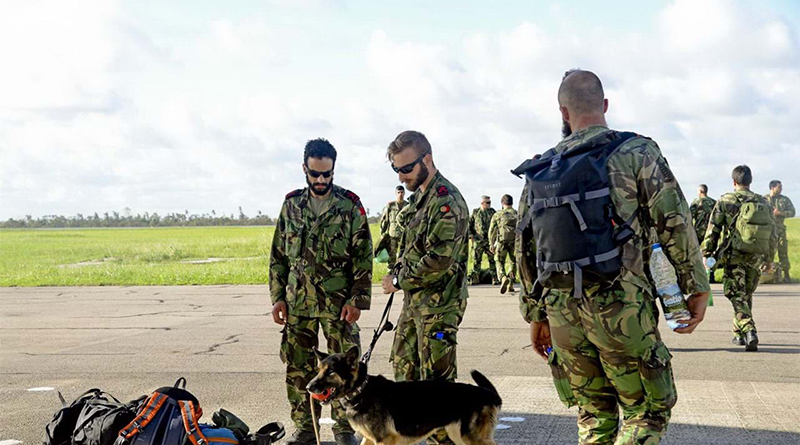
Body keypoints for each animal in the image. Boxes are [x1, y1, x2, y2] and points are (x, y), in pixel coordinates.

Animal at [307, 346, 502, 445]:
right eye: (319, 370)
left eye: (330, 372)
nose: (308, 387)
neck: (360, 390)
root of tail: (489, 394)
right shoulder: (369, 439)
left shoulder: (384, 440)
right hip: (458, 435)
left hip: (472, 438)